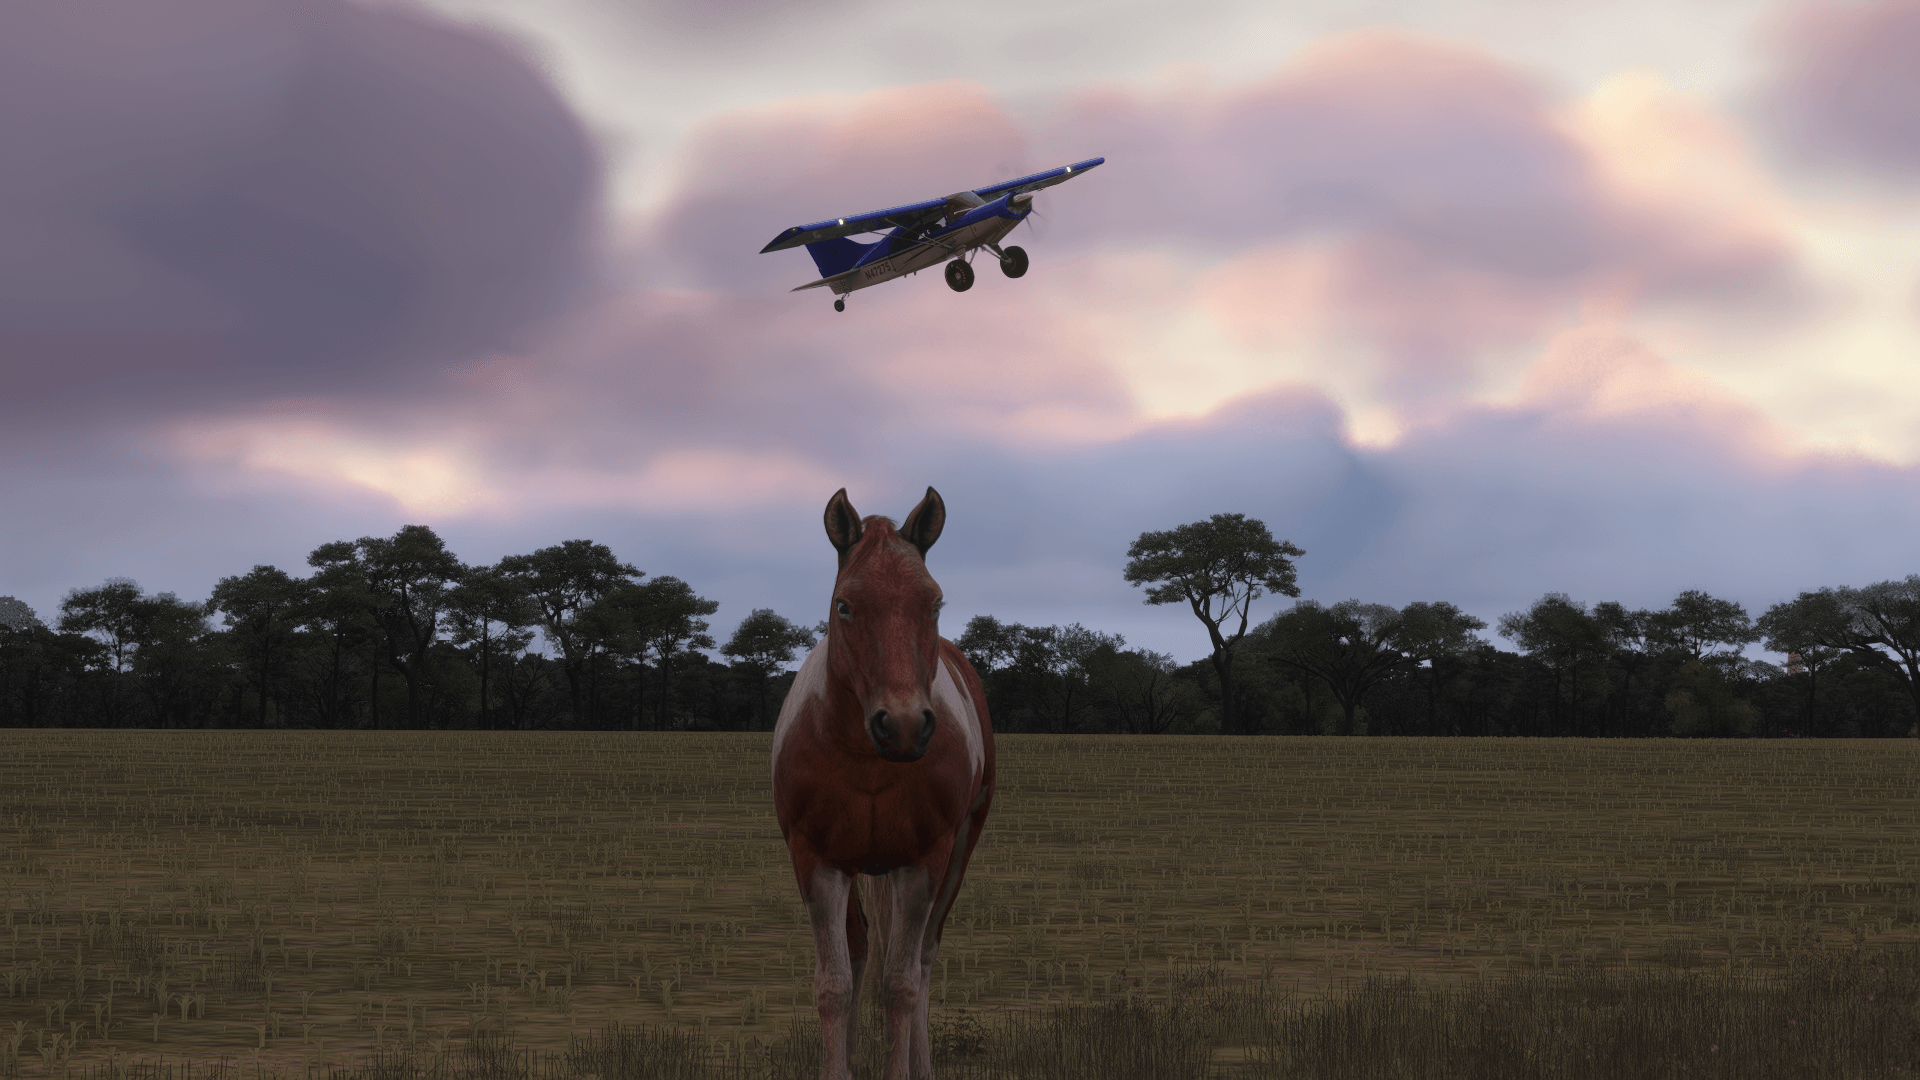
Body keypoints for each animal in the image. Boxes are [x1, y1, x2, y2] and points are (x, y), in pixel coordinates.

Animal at [770, 487, 996, 1080]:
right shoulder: (817, 861)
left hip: (957, 851)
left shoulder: (925, 861)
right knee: (861, 950)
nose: (903, 726)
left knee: (922, 961)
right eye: (845, 605)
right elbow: (835, 984)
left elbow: (901, 985)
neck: (868, 763)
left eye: (933, 604)